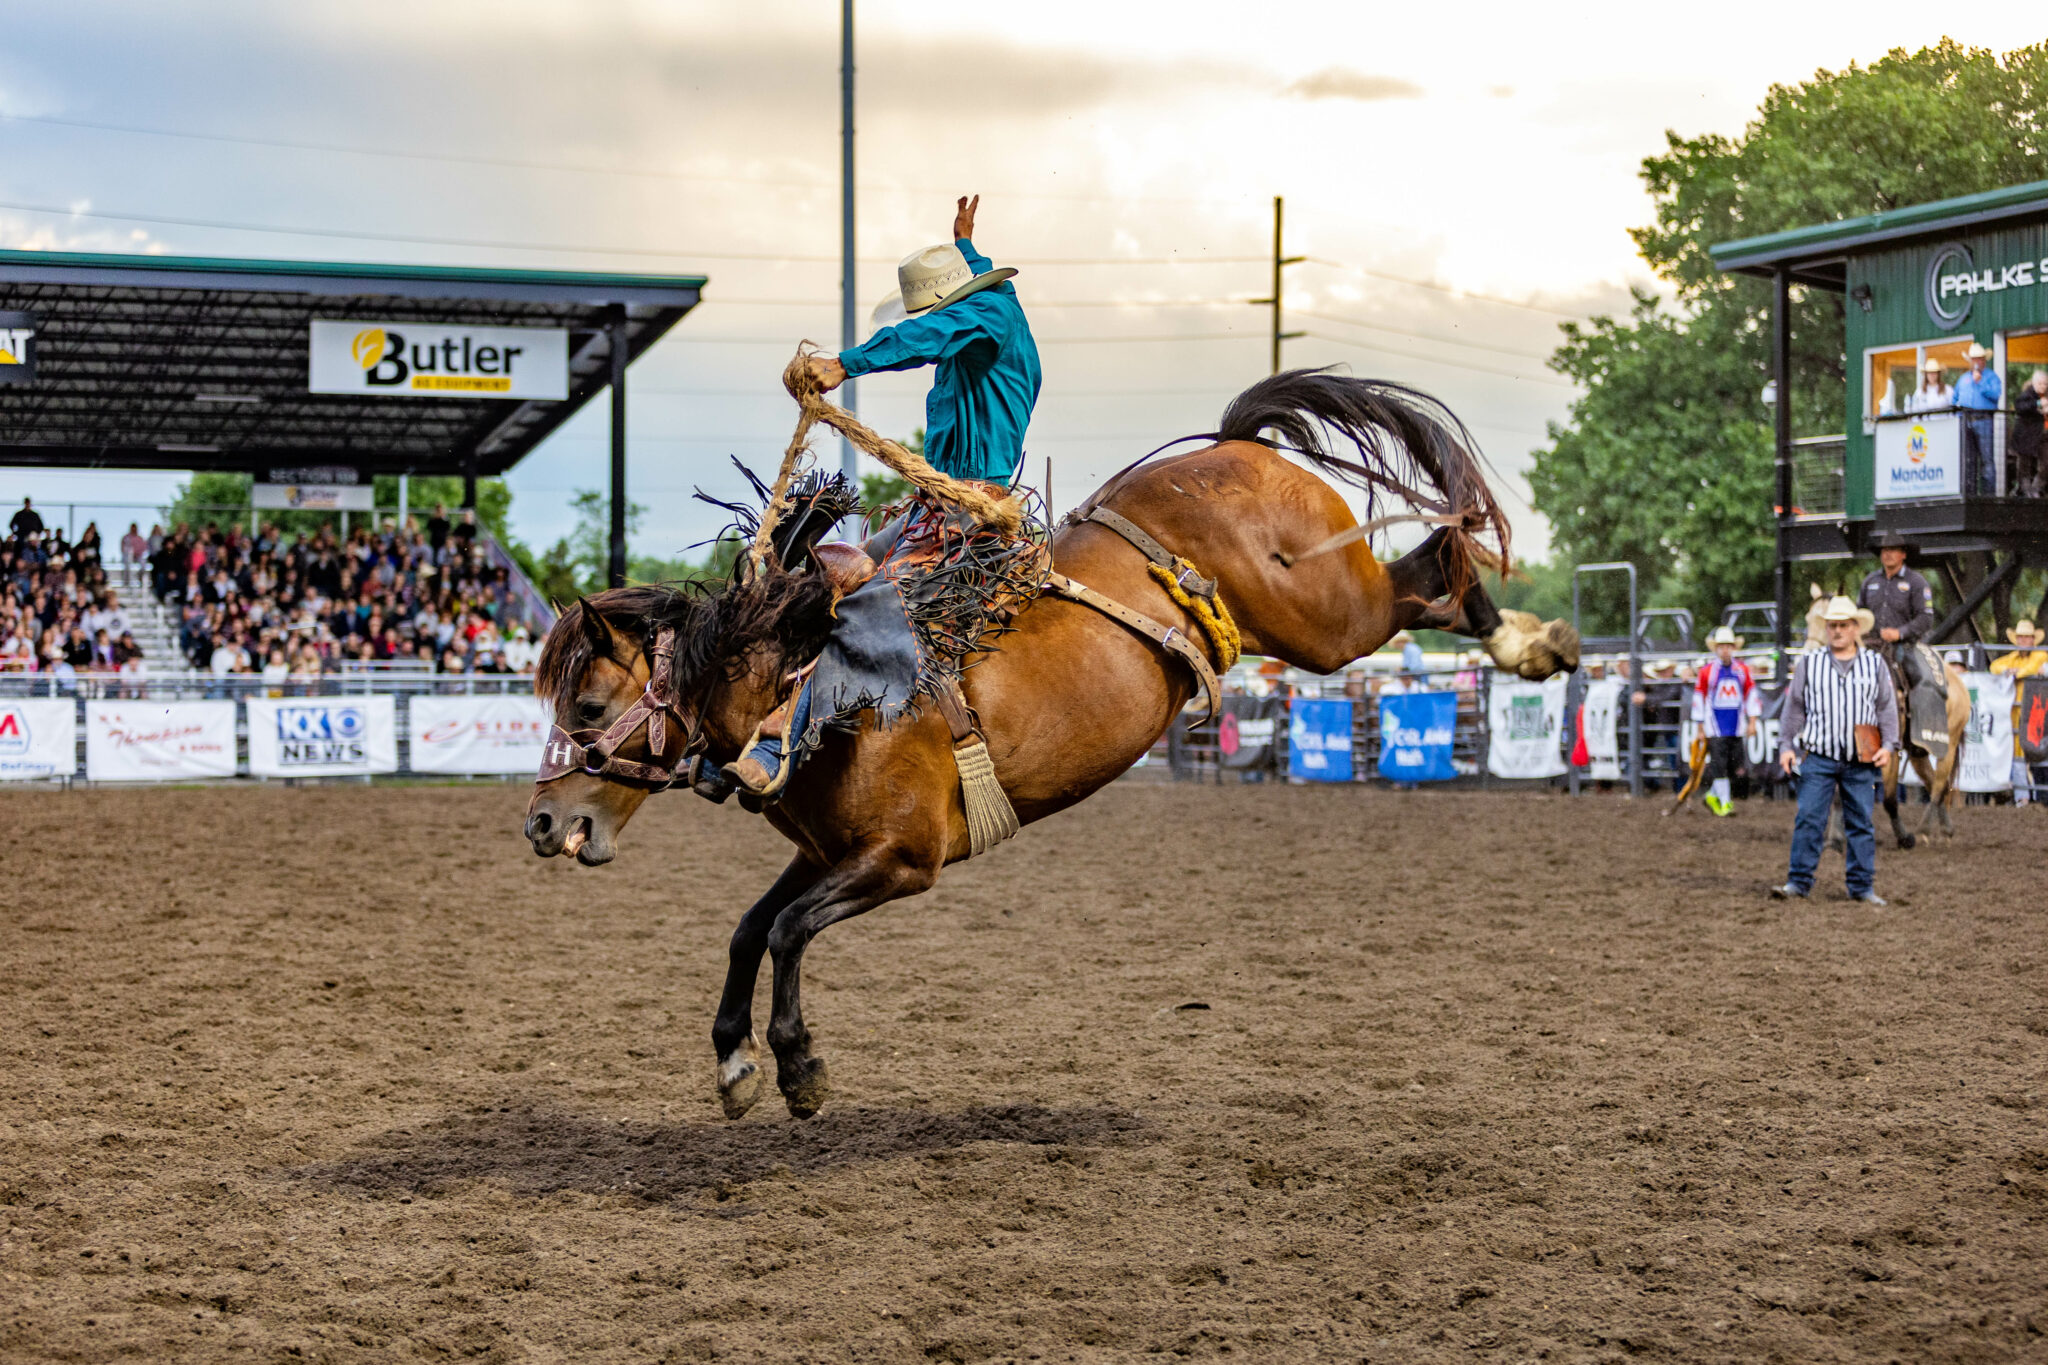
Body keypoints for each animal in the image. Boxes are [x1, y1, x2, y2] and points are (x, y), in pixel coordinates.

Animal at [520, 366, 1572, 1121]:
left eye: (586, 707)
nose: (539, 822)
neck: (811, 675)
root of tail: (1232, 443)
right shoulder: (828, 851)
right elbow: (750, 927)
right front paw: (735, 1062)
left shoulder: (902, 860)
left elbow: (784, 932)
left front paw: (798, 1069)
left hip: (1326, 614)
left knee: (1430, 573)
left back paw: (1532, 642)